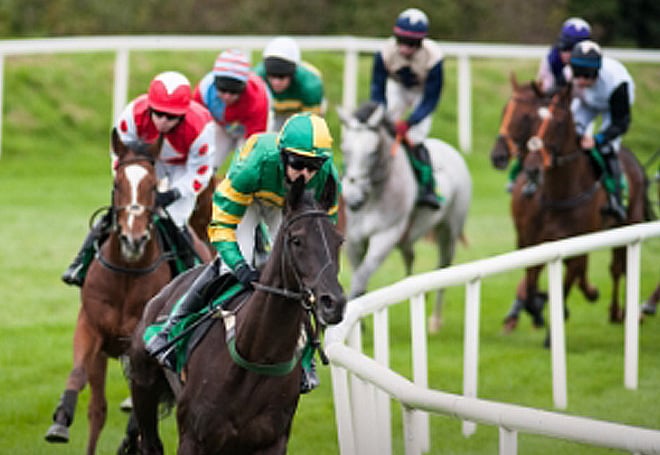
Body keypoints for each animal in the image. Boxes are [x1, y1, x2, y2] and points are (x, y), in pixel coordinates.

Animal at [123, 178, 346, 455]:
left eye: (339, 241)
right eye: (297, 240)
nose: (333, 303)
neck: (256, 355)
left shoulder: (271, 442)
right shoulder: (192, 438)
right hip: (143, 387)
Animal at [338, 101, 472, 334]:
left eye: (372, 152)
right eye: (345, 149)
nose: (353, 198)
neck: (373, 197)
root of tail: (453, 151)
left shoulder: (385, 235)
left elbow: (361, 277)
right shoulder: (354, 240)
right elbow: (358, 275)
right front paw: (359, 324)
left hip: (449, 230)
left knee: (444, 266)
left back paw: (435, 320)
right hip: (408, 238)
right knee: (410, 256)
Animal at [498, 83, 652, 336]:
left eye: (559, 123)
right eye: (533, 119)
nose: (532, 169)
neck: (557, 195)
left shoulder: (571, 242)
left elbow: (566, 284)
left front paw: (553, 328)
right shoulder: (530, 241)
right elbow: (531, 287)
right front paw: (538, 305)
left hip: (628, 224)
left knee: (619, 267)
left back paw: (623, 312)